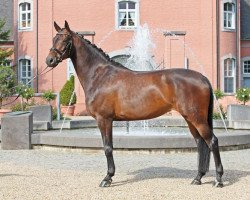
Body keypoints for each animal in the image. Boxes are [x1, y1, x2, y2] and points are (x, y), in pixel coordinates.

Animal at [46, 21, 224, 187]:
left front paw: (107, 178)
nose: (50, 60)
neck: (100, 75)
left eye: (66, 39)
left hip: (196, 118)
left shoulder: (104, 119)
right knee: (201, 143)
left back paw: (218, 179)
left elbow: (108, 148)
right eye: (54, 38)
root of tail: (203, 78)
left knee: (212, 141)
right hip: (190, 118)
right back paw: (198, 178)